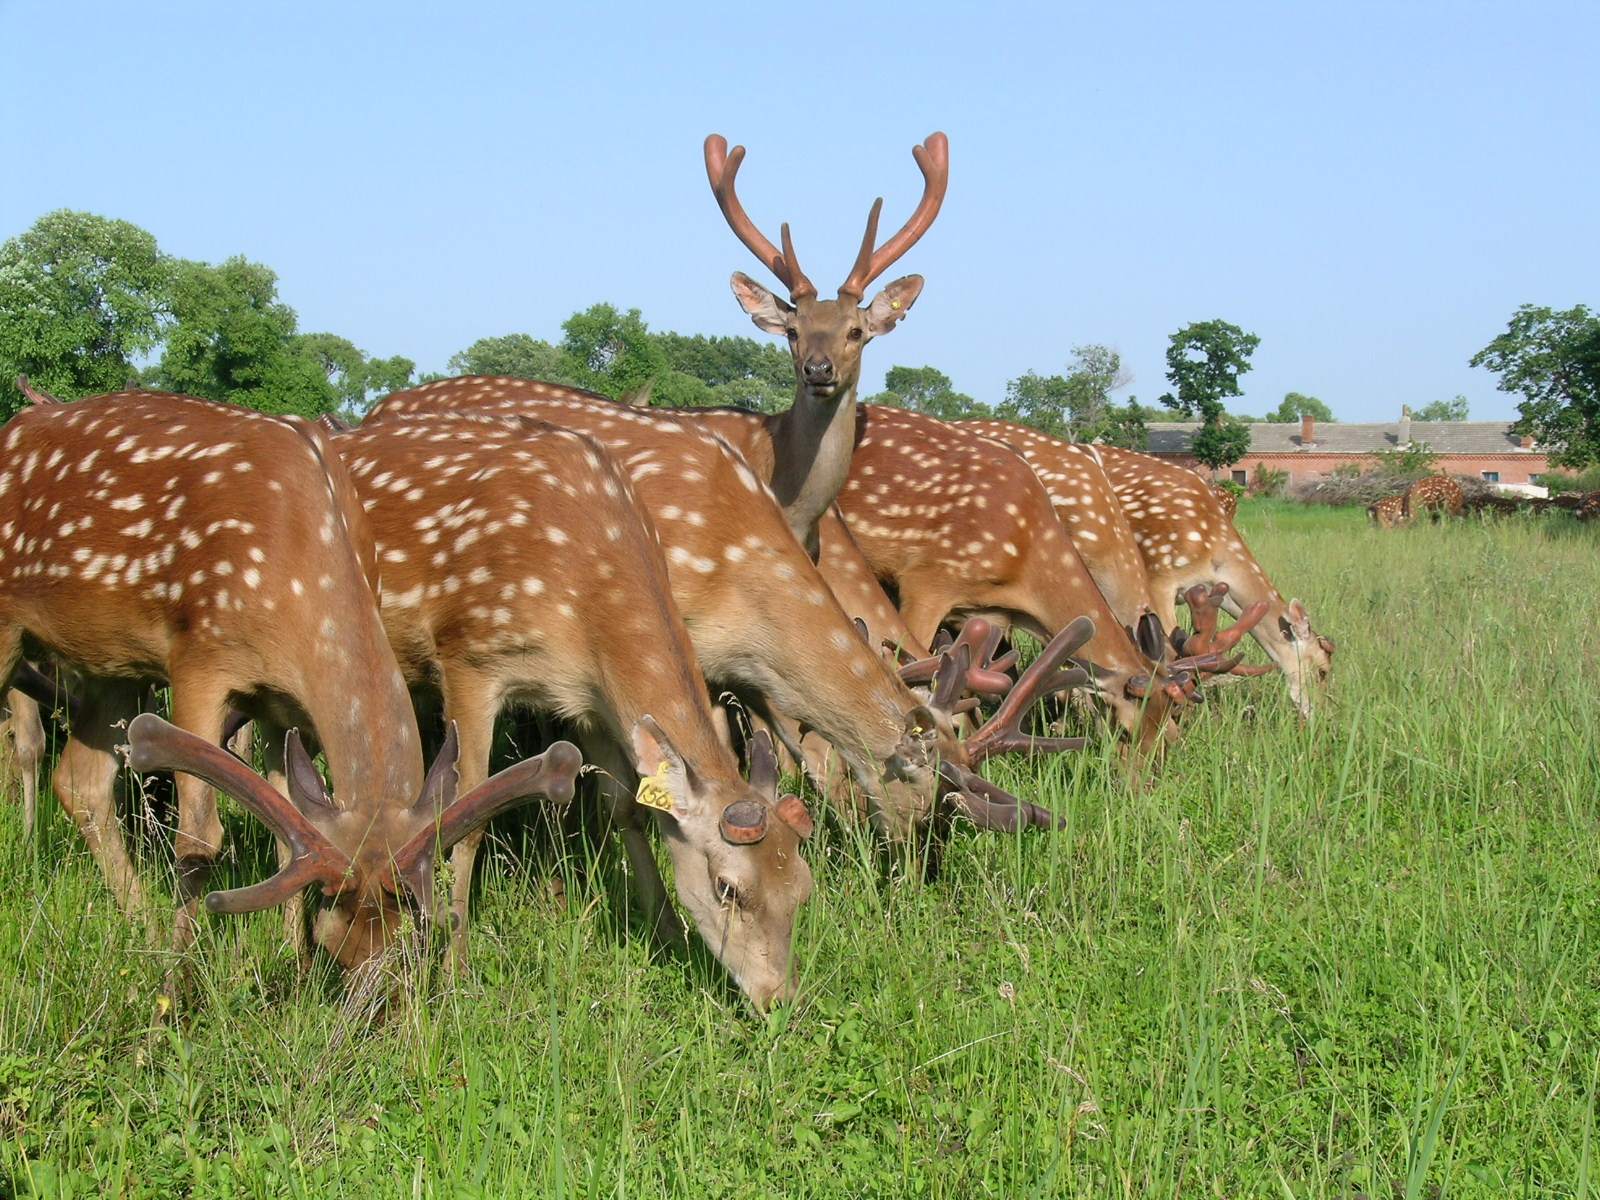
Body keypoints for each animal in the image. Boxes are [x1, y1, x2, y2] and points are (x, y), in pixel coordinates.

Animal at [0, 390, 576, 972]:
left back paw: (142, 923)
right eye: (338, 938)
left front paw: (288, 958)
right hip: (17, 627)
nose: (368, 991)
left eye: (404, 939)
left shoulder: (277, 703)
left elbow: (285, 833)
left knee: (80, 782)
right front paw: (179, 976)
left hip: (113, 665)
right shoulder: (199, 658)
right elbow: (199, 836)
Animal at [334, 419, 812, 1011]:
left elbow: (627, 808)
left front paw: (669, 933)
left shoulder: (588, 700)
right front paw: (453, 969)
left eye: (803, 888)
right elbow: (466, 818)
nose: (781, 998)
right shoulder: (469, 657)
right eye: (729, 888)